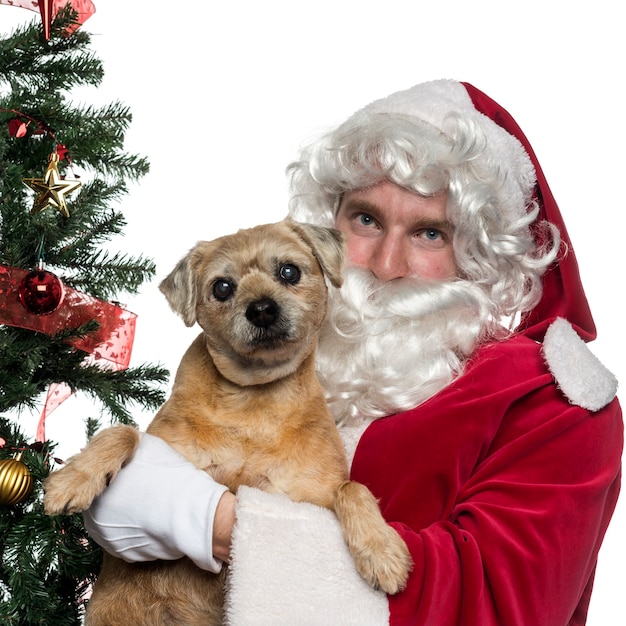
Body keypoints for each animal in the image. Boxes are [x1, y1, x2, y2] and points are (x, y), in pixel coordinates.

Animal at [46, 219, 412, 624]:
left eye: (289, 271)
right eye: (222, 287)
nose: (262, 309)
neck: (252, 400)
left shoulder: (313, 498)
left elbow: (352, 489)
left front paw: (381, 551)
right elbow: (123, 431)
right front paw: (71, 480)